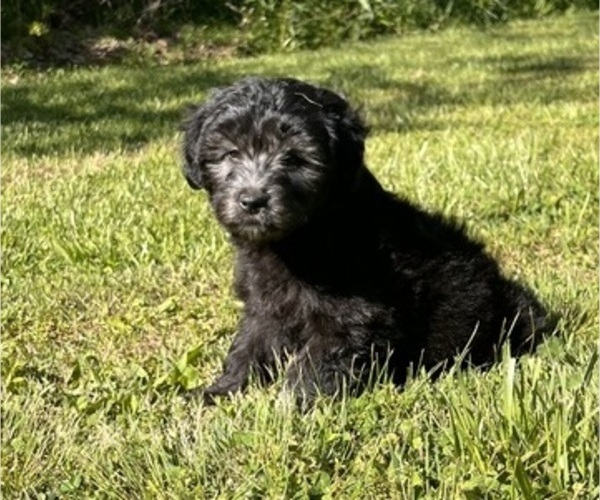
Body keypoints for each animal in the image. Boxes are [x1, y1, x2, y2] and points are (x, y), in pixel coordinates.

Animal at [179, 77, 552, 402]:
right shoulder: (264, 308)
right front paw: (222, 390)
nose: (253, 200)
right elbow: (248, 348)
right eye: (231, 153)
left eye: (295, 158)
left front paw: (290, 411)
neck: (304, 235)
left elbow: (315, 365)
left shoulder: (350, 313)